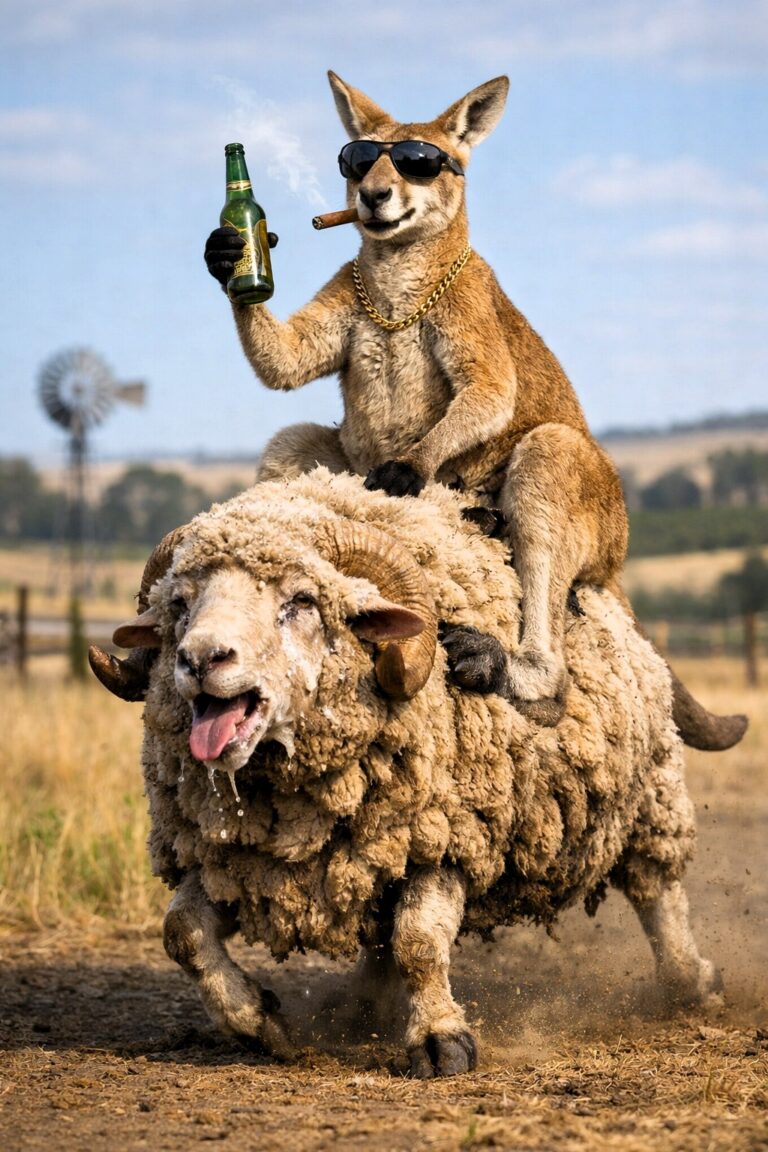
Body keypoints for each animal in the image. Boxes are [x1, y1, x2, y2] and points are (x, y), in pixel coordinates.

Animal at [95, 469, 722, 1077]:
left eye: (301, 601)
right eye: (179, 604)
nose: (200, 659)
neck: (295, 816)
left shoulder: (446, 838)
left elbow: (418, 941)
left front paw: (441, 1040)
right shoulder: (230, 861)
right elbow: (181, 934)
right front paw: (256, 1019)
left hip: (651, 797)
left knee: (657, 892)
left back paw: (693, 982)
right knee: (378, 931)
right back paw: (363, 1007)